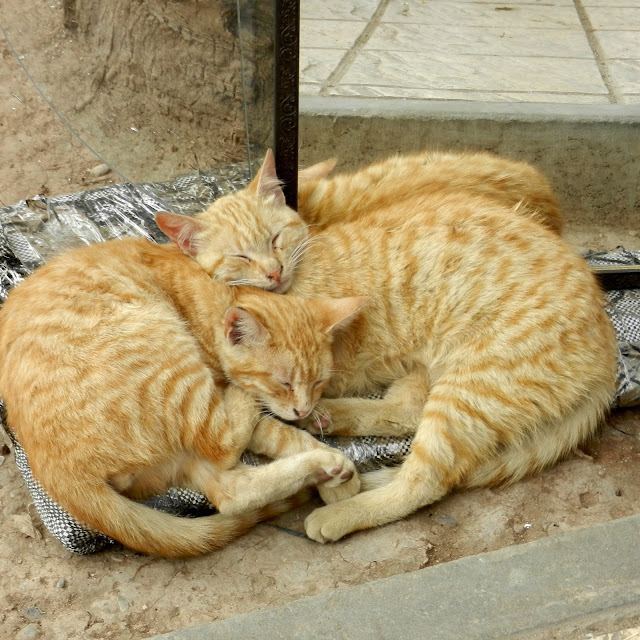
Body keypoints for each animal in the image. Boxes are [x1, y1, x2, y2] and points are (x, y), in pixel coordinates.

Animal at [0, 236, 369, 556]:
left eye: (319, 382)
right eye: (283, 383)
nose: (303, 408)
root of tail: (53, 470)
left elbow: (282, 435)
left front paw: (329, 448)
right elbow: (277, 429)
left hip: (180, 452)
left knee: (232, 494)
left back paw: (324, 467)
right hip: (170, 357)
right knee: (222, 444)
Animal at [156, 149, 617, 544]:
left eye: (275, 240)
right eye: (240, 256)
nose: (274, 272)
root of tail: (609, 344)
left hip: (473, 386)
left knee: (426, 479)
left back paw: (338, 508)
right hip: (440, 375)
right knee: (406, 415)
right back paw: (332, 422)